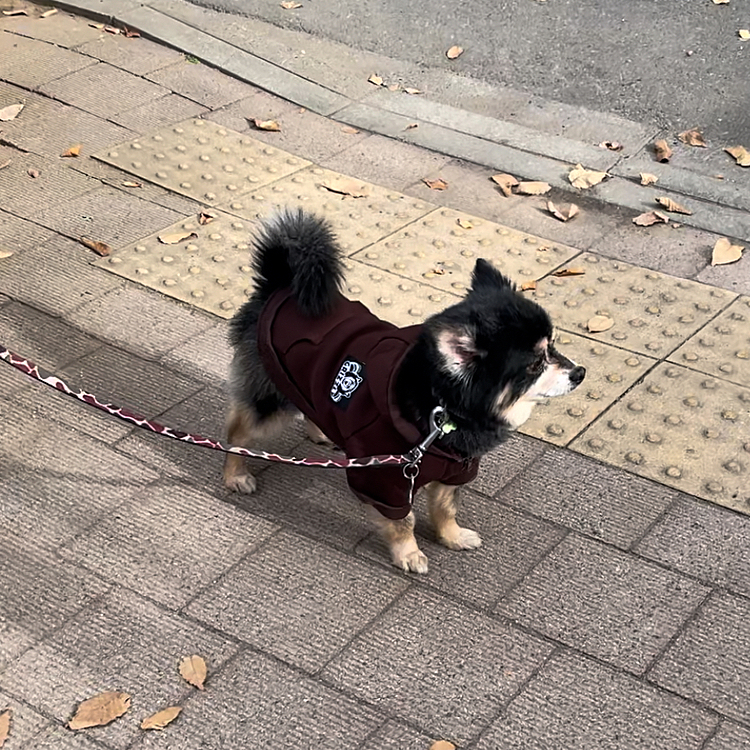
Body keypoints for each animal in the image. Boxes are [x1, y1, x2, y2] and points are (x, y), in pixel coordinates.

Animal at [223, 209, 588, 572]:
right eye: (536, 363)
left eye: (553, 346)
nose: (580, 373)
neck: (442, 410)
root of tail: (279, 284)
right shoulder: (388, 480)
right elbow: (403, 521)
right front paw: (408, 553)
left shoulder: (454, 471)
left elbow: (445, 508)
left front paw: (451, 537)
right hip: (268, 401)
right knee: (238, 433)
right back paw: (235, 475)